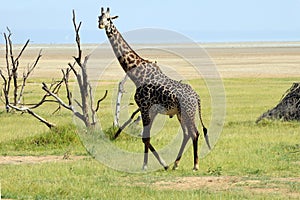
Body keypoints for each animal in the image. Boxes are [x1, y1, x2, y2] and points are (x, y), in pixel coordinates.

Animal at [98, 7, 211, 170]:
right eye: (98, 17)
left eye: (109, 19)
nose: (101, 24)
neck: (136, 74)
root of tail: (197, 97)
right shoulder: (151, 110)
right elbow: (146, 137)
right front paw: (158, 164)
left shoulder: (144, 107)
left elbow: (145, 137)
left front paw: (152, 165)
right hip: (180, 113)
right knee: (187, 133)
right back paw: (176, 164)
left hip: (188, 112)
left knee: (194, 133)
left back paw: (195, 165)